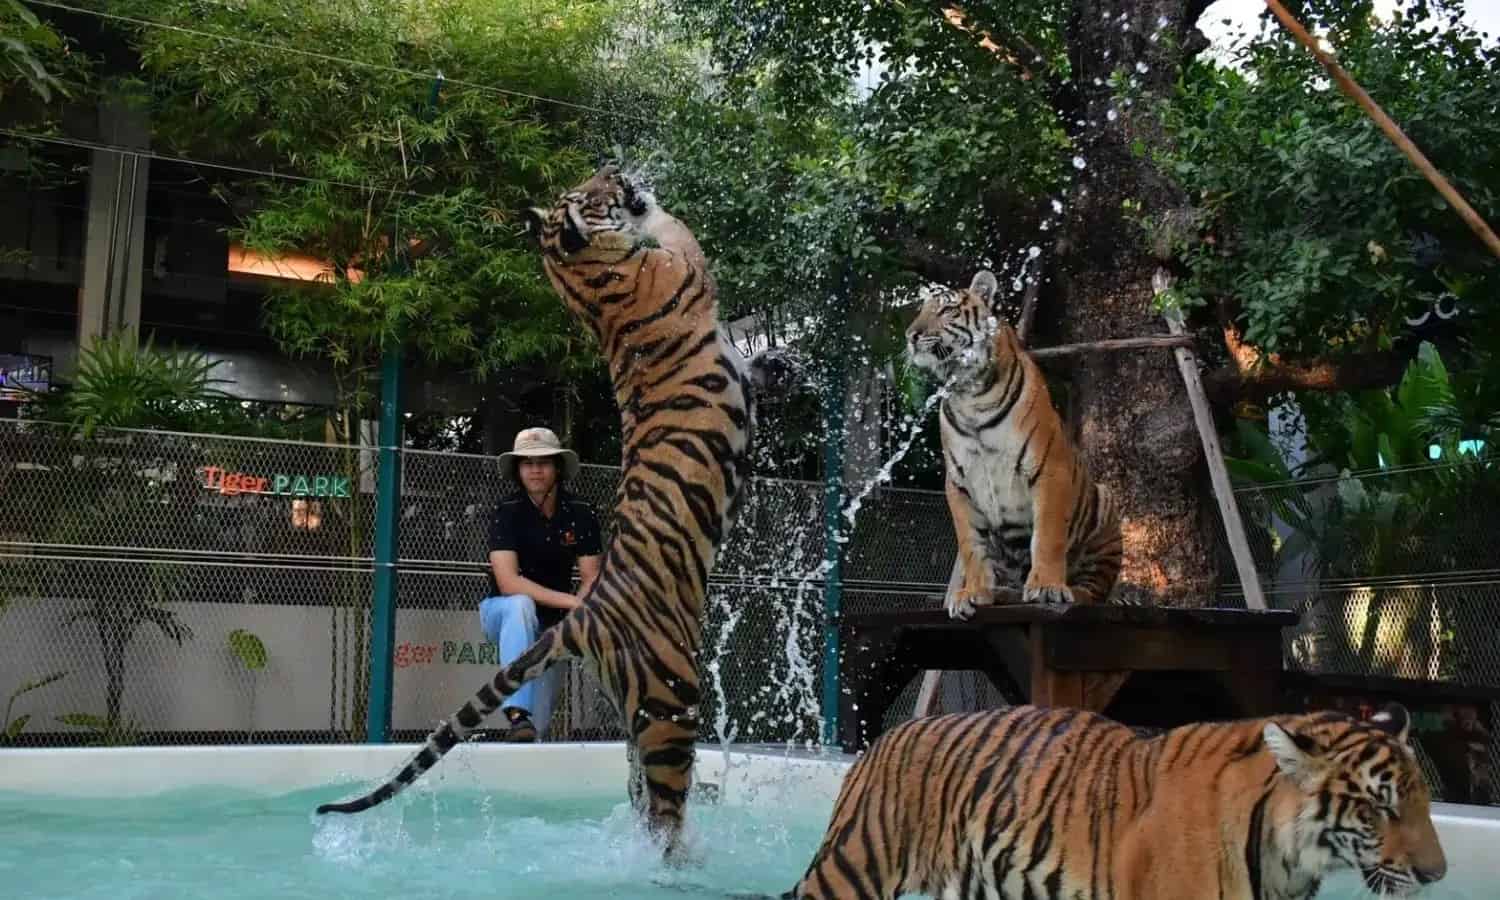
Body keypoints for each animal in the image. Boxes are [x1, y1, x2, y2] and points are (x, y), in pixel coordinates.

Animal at [314, 164, 757, 861]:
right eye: (596, 189)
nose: (615, 167)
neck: (588, 283)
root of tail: (588, 613)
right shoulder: (680, 266)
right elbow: (675, 231)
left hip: (637, 709)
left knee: (639, 793)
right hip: (671, 700)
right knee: (663, 807)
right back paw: (680, 862)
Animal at [905, 269, 1122, 616]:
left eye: (947, 310)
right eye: (920, 310)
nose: (911, 335)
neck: (971, 395)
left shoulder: (1049, 469)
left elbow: (1047, 536)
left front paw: (1046, 586)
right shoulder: (958, 482)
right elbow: (971, 545)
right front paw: (973, 592)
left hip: (1105, 504)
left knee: (1094, 592)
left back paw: (1068, 592)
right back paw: (1003, 593)